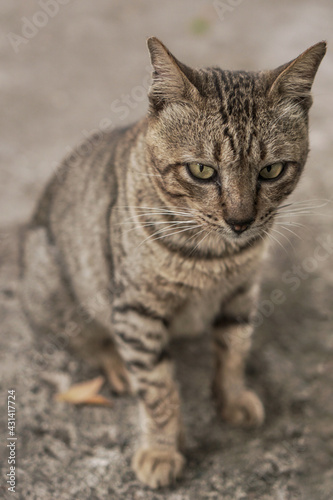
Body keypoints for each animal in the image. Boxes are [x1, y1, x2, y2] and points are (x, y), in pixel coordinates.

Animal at [20, 36, 324, 488]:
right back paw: (116, 366)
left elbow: (234, 350)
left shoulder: (241, 293)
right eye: (201, 170)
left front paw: (231, 398)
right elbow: (159, 390)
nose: (240, 222)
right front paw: (163, 449)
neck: (216, 256)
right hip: (54, 281)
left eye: (271, 170)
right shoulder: (137, 311)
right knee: (86, 339)